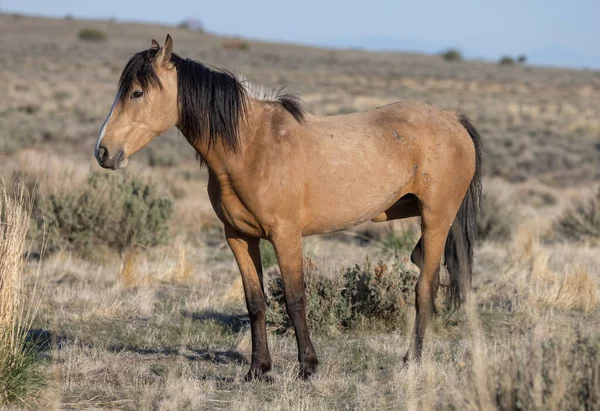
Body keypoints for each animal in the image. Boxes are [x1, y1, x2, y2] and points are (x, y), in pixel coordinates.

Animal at [96, 35, 486, 384]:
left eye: (137, 93)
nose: (103, 152)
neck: (253, 146)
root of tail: (452, 119)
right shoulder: (239, 238)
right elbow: (255, 302)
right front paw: (258, 370)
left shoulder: (285, 236)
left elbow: (295, 299)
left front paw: (307, 367)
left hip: (436, 219)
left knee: (426, 288)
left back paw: (412, 361)